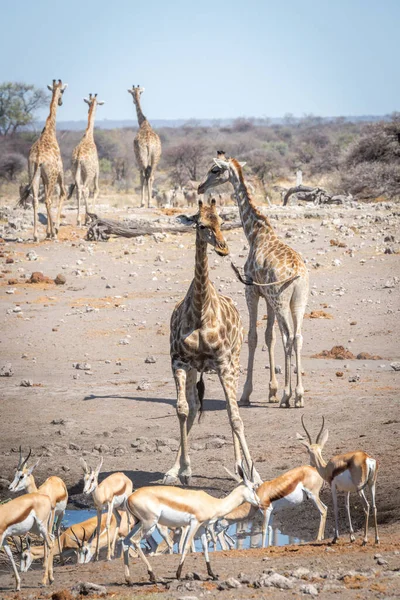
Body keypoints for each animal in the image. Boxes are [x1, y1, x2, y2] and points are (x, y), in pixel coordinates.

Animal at [21, 79, 67, 241]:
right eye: (63, 91)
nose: (60, 102)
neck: (49, 130)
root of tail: (39, 158)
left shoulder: (43, 177)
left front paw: (47, 231)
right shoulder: (59, 171)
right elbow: (62, 194)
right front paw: (54, 229)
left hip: (33, 175)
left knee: (35, 199)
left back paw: (35, 235)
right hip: (52, 176)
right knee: (49, 199)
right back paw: (53, 233)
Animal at [70, 94, 104, 225]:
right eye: (98, 104)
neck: (88, 135)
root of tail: (79, 157)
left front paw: (87, 216)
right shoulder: (97, 171)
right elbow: (95, 190)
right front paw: (91, 215)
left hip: (75, 170)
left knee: (79, 189)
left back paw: (78, 219)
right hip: (88, 173)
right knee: (85, 189)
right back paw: (85, 218)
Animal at [163, 199, 260, 486]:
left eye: (222, 221)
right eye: (201, 224)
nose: (223, 247)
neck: (200, 312)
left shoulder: (224, 363)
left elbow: (235, 417)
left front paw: (252, 473)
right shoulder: (179, 361)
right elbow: (183, 409)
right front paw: (183, 470)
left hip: (235, 361)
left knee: (232, 410)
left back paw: (242, 469)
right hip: (198, 369)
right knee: (195, 407)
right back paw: (174, 470)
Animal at [198, 152, 310, 410]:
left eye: (215, 170)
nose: (200, 187)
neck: (254, 232)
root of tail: (297, 274)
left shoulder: (252, 291)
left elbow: (252, 336)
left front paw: (247, 393)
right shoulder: (266, 296)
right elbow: (269, 337)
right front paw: (272, 391)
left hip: (281, 300)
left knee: (289, 337)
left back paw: (289, 396)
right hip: (298, 300)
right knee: (297, 337)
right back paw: (298, 395)